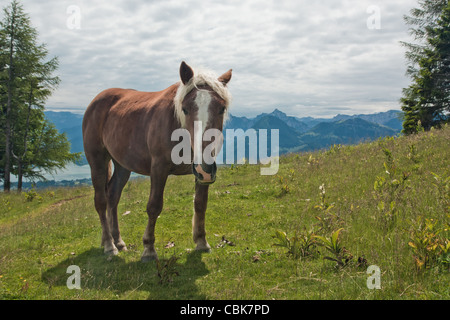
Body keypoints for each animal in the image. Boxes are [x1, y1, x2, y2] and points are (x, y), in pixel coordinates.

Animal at [82, 61, 234, 262]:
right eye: (185, 109)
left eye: (221, 108)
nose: (205, 169)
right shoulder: (159, 169)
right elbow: (154, 206)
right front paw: (148, 249)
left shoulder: (201, 171)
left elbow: (200, 204)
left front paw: (201, 242)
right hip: (97, 160)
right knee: (101, 201)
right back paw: (109, 245)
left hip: (122, 165)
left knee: (113, 196)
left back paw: (118, 242)